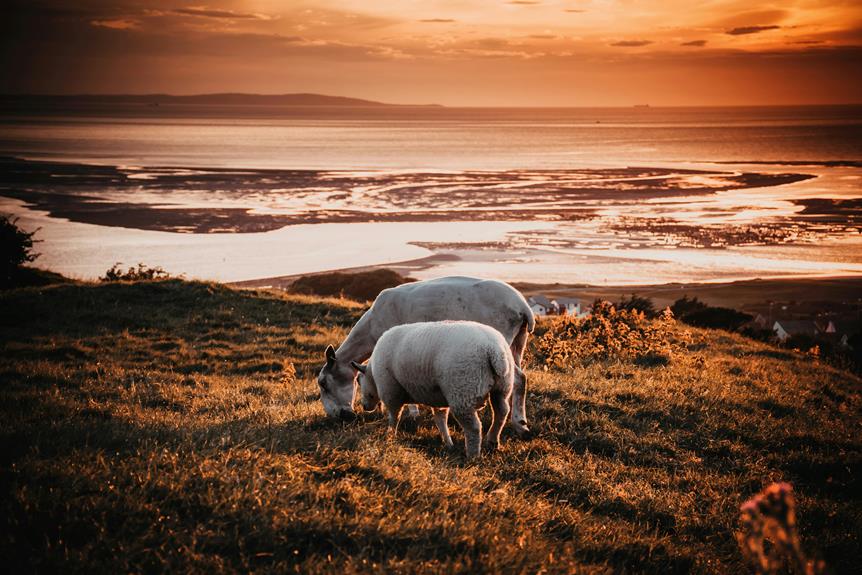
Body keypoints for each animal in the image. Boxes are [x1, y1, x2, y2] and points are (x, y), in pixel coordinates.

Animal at [352, 320, 512, 460]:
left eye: (359, 381)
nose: (364, 407)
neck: (373, 374)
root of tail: (493, 349)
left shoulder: (390, 391)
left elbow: (394, 416)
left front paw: (390, 435)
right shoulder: (438, 397)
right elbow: (440, 420)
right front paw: (448, 443)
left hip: (462, 391)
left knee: (474, 427)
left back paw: (473, 456)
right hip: (502, 387)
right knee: (501, 412)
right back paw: (492, 441)